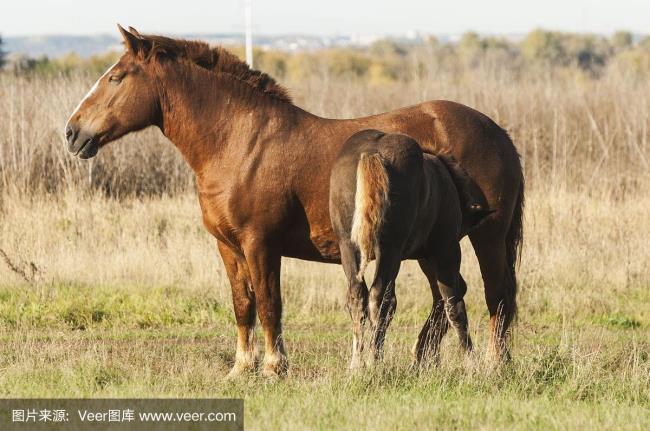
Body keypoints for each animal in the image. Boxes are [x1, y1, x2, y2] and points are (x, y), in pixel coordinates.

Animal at [64, 26, 520, 378]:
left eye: (116, 77)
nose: (72, 132)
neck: (239, 142)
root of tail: (498, 132)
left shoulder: (260, 244)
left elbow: (270, 304)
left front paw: (273, 367)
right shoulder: (228, 247)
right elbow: (243, 304)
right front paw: (241, 368)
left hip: (484, 240)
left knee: (495, 296)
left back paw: (493, 366)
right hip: (432, 246)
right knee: (449, 295)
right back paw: (421, 359)